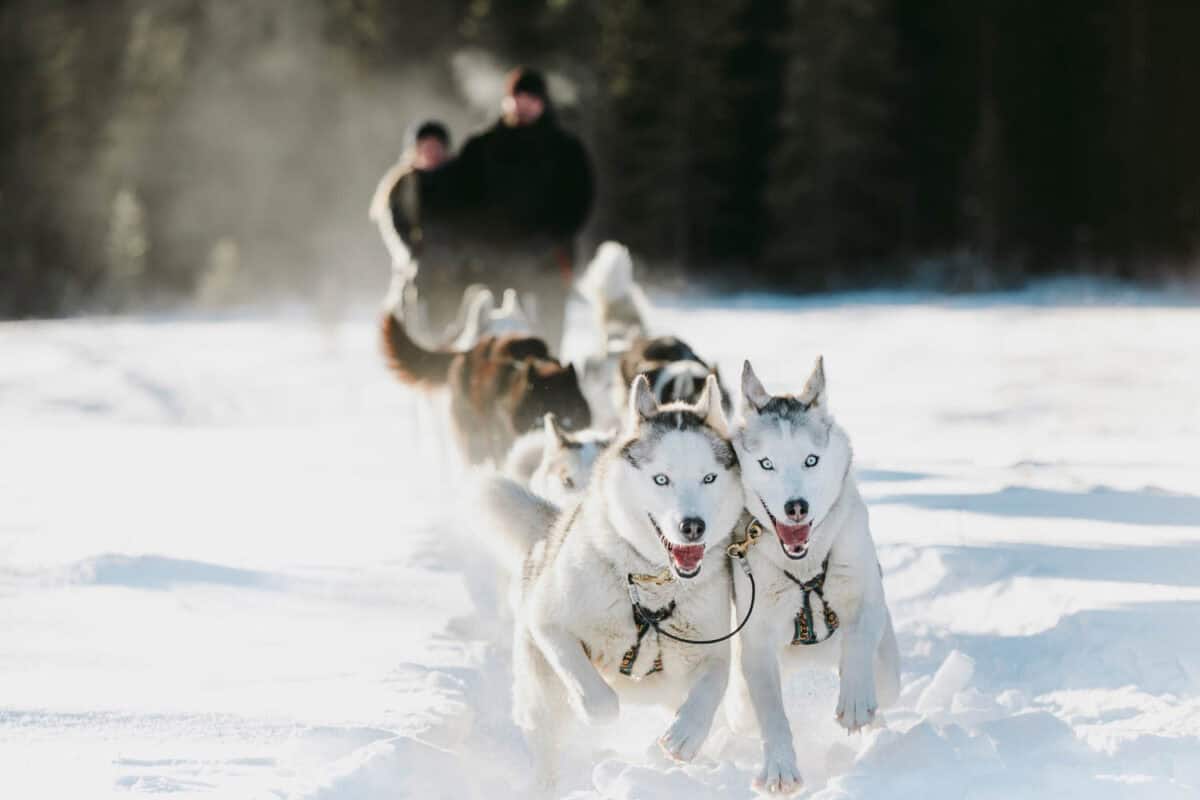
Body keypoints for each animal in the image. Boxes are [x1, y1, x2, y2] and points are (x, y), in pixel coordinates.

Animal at [482, 379, 744, 791]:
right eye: (661, 479)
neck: (653, 583)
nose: (693, 526)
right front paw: (595, 709)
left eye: (709, 478)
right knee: (545, 737)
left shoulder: (713, 646)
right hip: (540, 692)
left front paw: (686, 734)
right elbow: (592, 690)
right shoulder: (549, 622)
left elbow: (713, 683)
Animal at [720, 357, 902, 796]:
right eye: (767, 463)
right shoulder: (758, 643)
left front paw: (854, 700)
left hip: (888, 672)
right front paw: (780, 767)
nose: (796, 507)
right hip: (742, 700)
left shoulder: (867, 596)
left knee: (880, 681)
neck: (805, 565)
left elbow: (858, 640)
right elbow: (773, 714)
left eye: (811, 460)